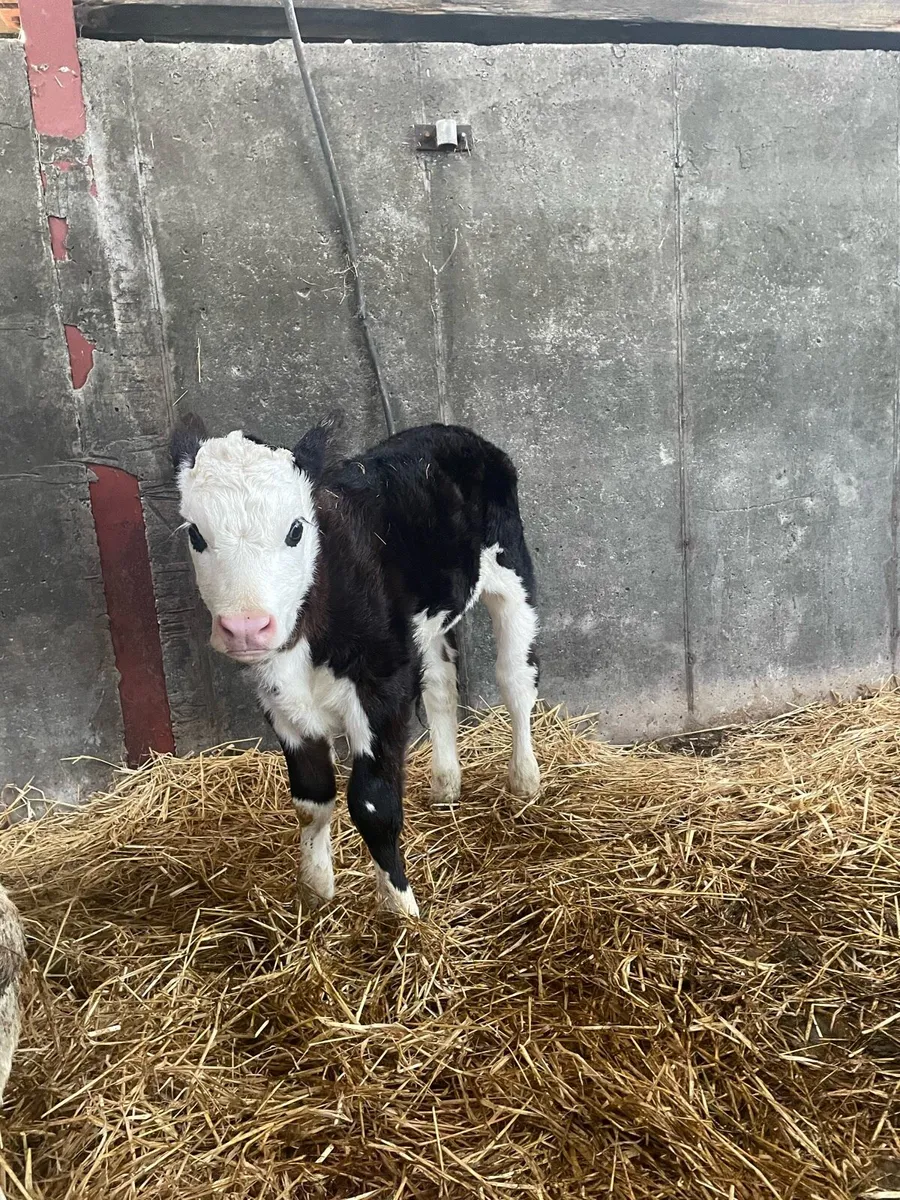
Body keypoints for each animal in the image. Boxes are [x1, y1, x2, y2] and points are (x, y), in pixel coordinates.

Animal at [171, 418, 541, 917]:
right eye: (196, 533)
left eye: (295, 530)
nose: (246, 627)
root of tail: (447, 429)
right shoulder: (279, 701)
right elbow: (311, 800)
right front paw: (315, 890)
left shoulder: (382, 687)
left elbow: (373, 804)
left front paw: (402, 910)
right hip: (425, 628)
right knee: (441, 688)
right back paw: (446, 785)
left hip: (511, 571)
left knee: (516, 679)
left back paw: (525, 780)